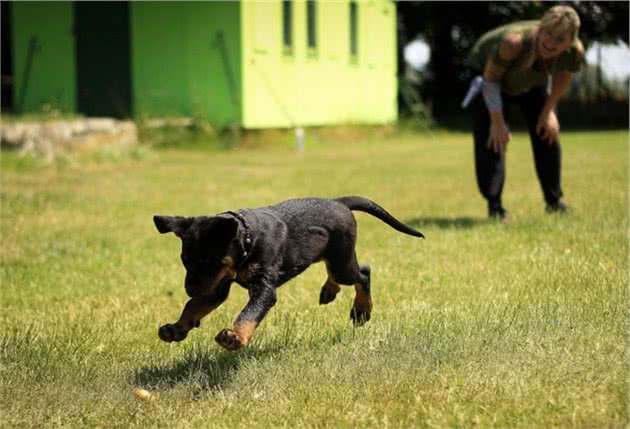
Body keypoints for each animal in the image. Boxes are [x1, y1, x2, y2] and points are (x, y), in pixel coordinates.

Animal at [153, 196, 424, 350]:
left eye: (208, 261)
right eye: (185, 261)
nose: (189, 288)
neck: (248, 240)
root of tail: (340, 202)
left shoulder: (263, 288)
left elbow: (248, 313)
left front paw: (235, 337)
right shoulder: (216, 287)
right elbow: (193, 306)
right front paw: (176, 328)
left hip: (342, 262)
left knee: (363, 273)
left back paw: (361, 310)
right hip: (328, 255)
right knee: (336, 273)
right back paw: (329, 291)